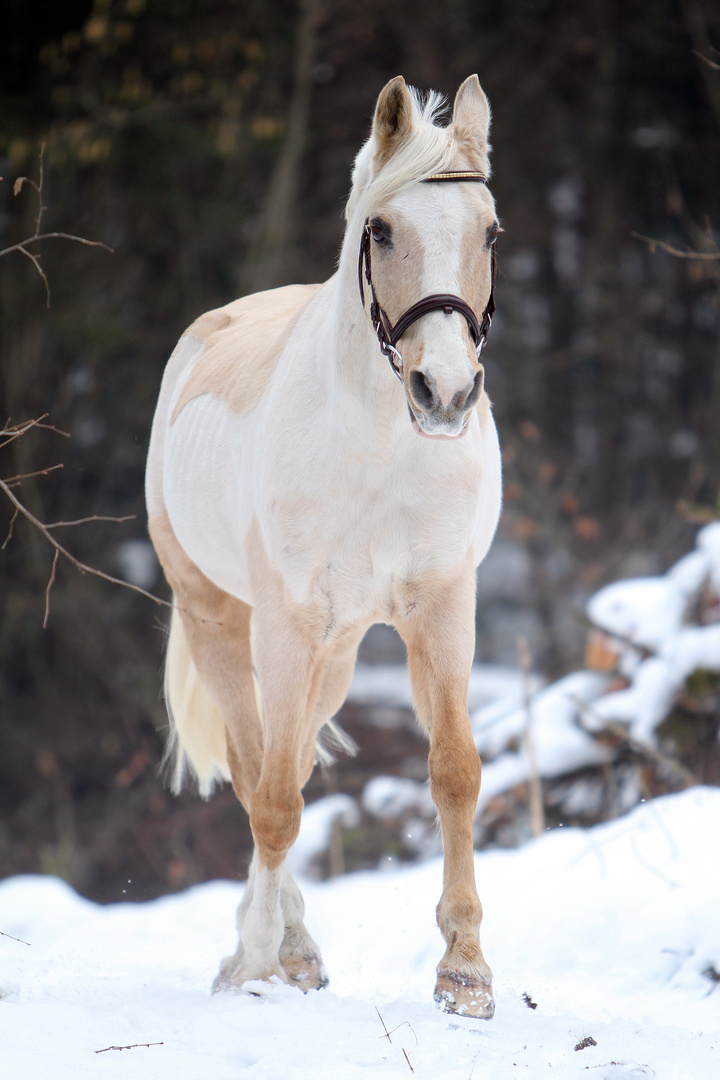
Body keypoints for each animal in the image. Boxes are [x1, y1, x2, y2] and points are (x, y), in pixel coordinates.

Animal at [147, 76, 500, 1019]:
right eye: (382, 230)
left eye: (490, 233)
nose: (445, 392)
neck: (380, 447)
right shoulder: (286, 624)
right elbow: (273, 798)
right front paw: (258, 961)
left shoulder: (442, 607)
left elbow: (454, 772)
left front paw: (466, 974)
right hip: (223, 621)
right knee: (255, 771)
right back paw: (282, 951)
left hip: (337, 651)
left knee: (294, 755)